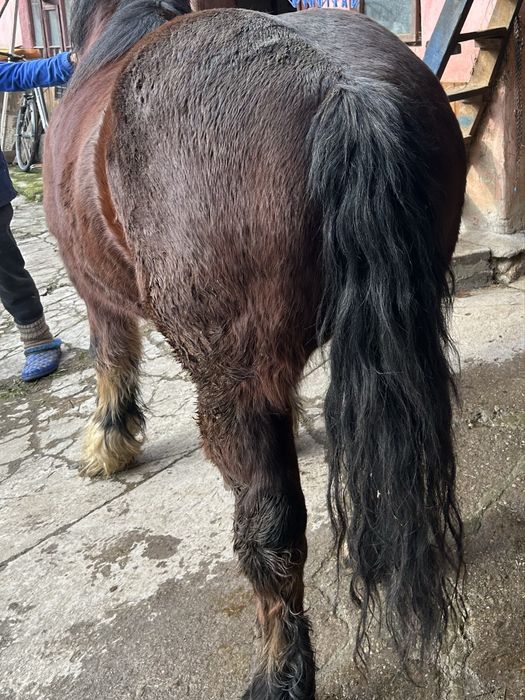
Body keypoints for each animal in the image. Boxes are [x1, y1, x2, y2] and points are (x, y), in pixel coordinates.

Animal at [44, 1, 467, 697]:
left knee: (271, 529)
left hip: (228, 386)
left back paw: (279, 672)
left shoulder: (96, 294)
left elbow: (111, 360)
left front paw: (109, 442)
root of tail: (345, 92)